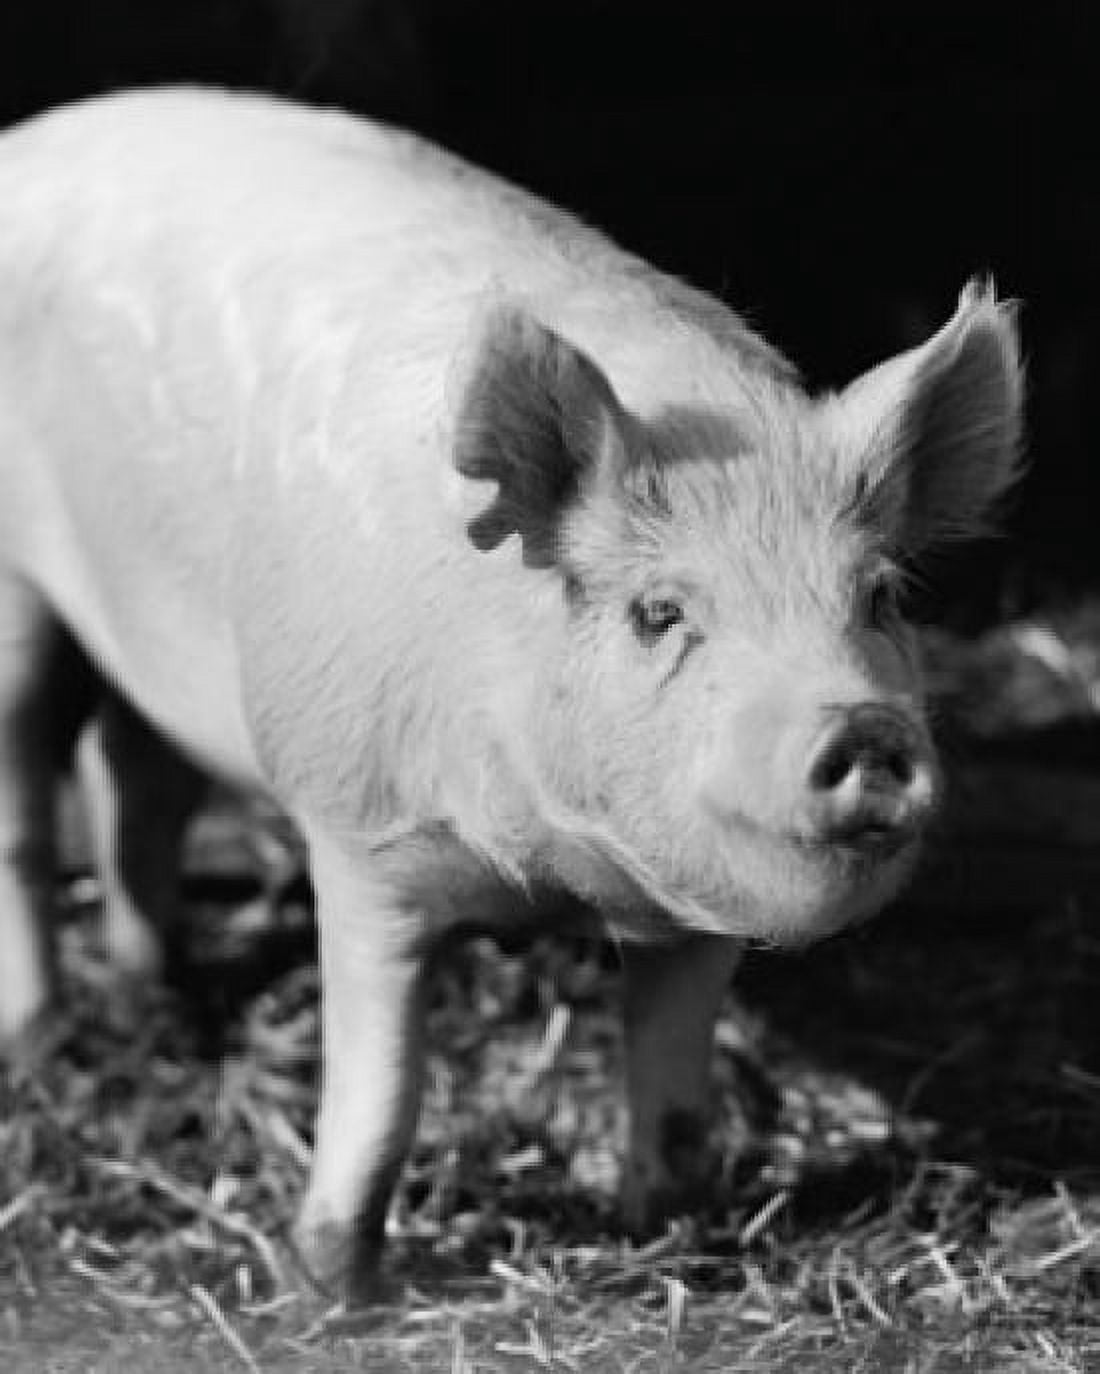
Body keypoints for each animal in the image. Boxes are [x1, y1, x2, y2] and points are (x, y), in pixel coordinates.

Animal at [0, 88, 1022, 1301]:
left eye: (878, 597)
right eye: (659, 613)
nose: (859, 726)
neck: (548, 866)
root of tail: (31, 139)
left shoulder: (695, 913)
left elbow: (672, 1084)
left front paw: (670, 1231)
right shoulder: (357, 828)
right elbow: (384, 1089)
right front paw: (334, 1288)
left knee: (135, 779)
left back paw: (152, 1000)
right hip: (17, 595)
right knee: (27, 804)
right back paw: (42, 1039)